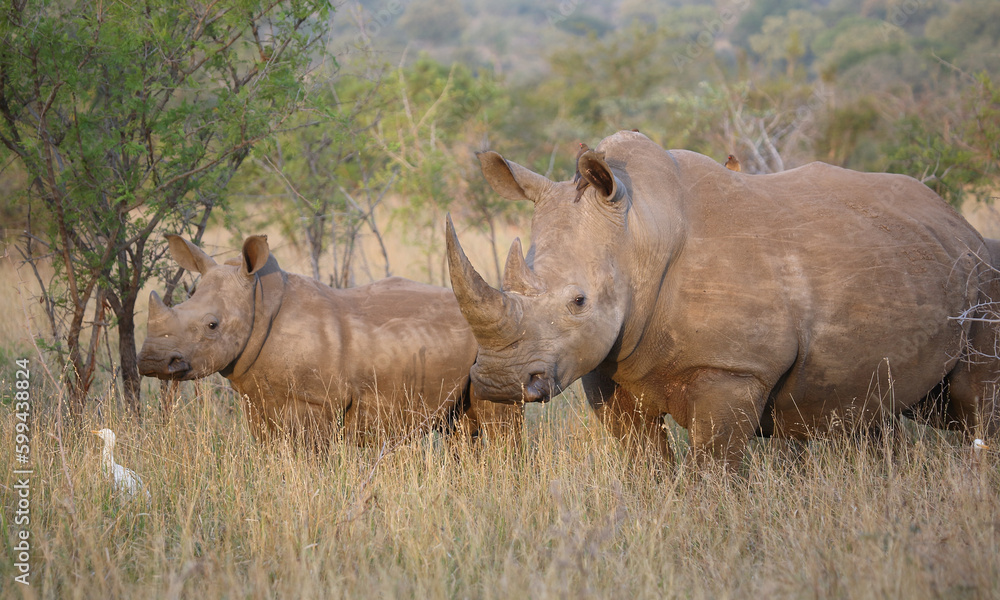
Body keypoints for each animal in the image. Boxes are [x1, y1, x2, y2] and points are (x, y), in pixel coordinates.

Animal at [137, 234, 522, 447]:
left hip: (498, 344)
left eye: (212, 325)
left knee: (498, 425)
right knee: (462, 429)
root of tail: (507, 309)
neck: (259, 302)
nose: (152, 362)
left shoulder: (315, 402)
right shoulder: (257, 398)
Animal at [446, 130, 1000, 465]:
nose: (497, 380)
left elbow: (712, 470)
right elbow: (643, 462)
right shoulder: (606, 363)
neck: (638, 235)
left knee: (974, 406)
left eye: (578, 302)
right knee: (879, 410)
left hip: (983, 274)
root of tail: (956, 220)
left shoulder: (732, 370)